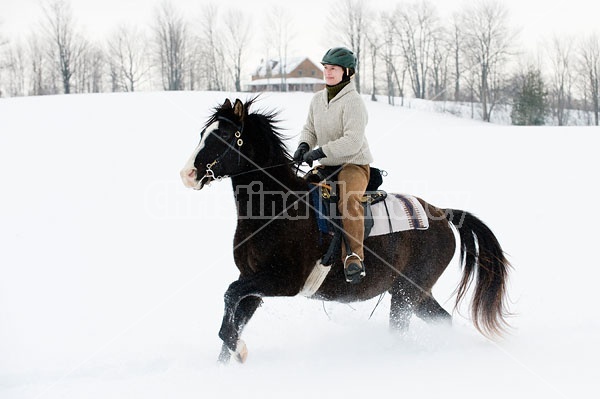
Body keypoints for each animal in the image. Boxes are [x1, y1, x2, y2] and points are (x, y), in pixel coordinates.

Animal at [179, 98, 510, 364]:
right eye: (203, 133)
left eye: (223, 136)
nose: (188, 174)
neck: (277, 207)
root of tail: (441, 214)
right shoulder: (253, 279)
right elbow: (233, 311)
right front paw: (227, 360)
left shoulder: (283, 281)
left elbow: (230, 299)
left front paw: (240, 350)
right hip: (414, 293)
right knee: (443, 320)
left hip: (407, 294)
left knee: (402, 328)